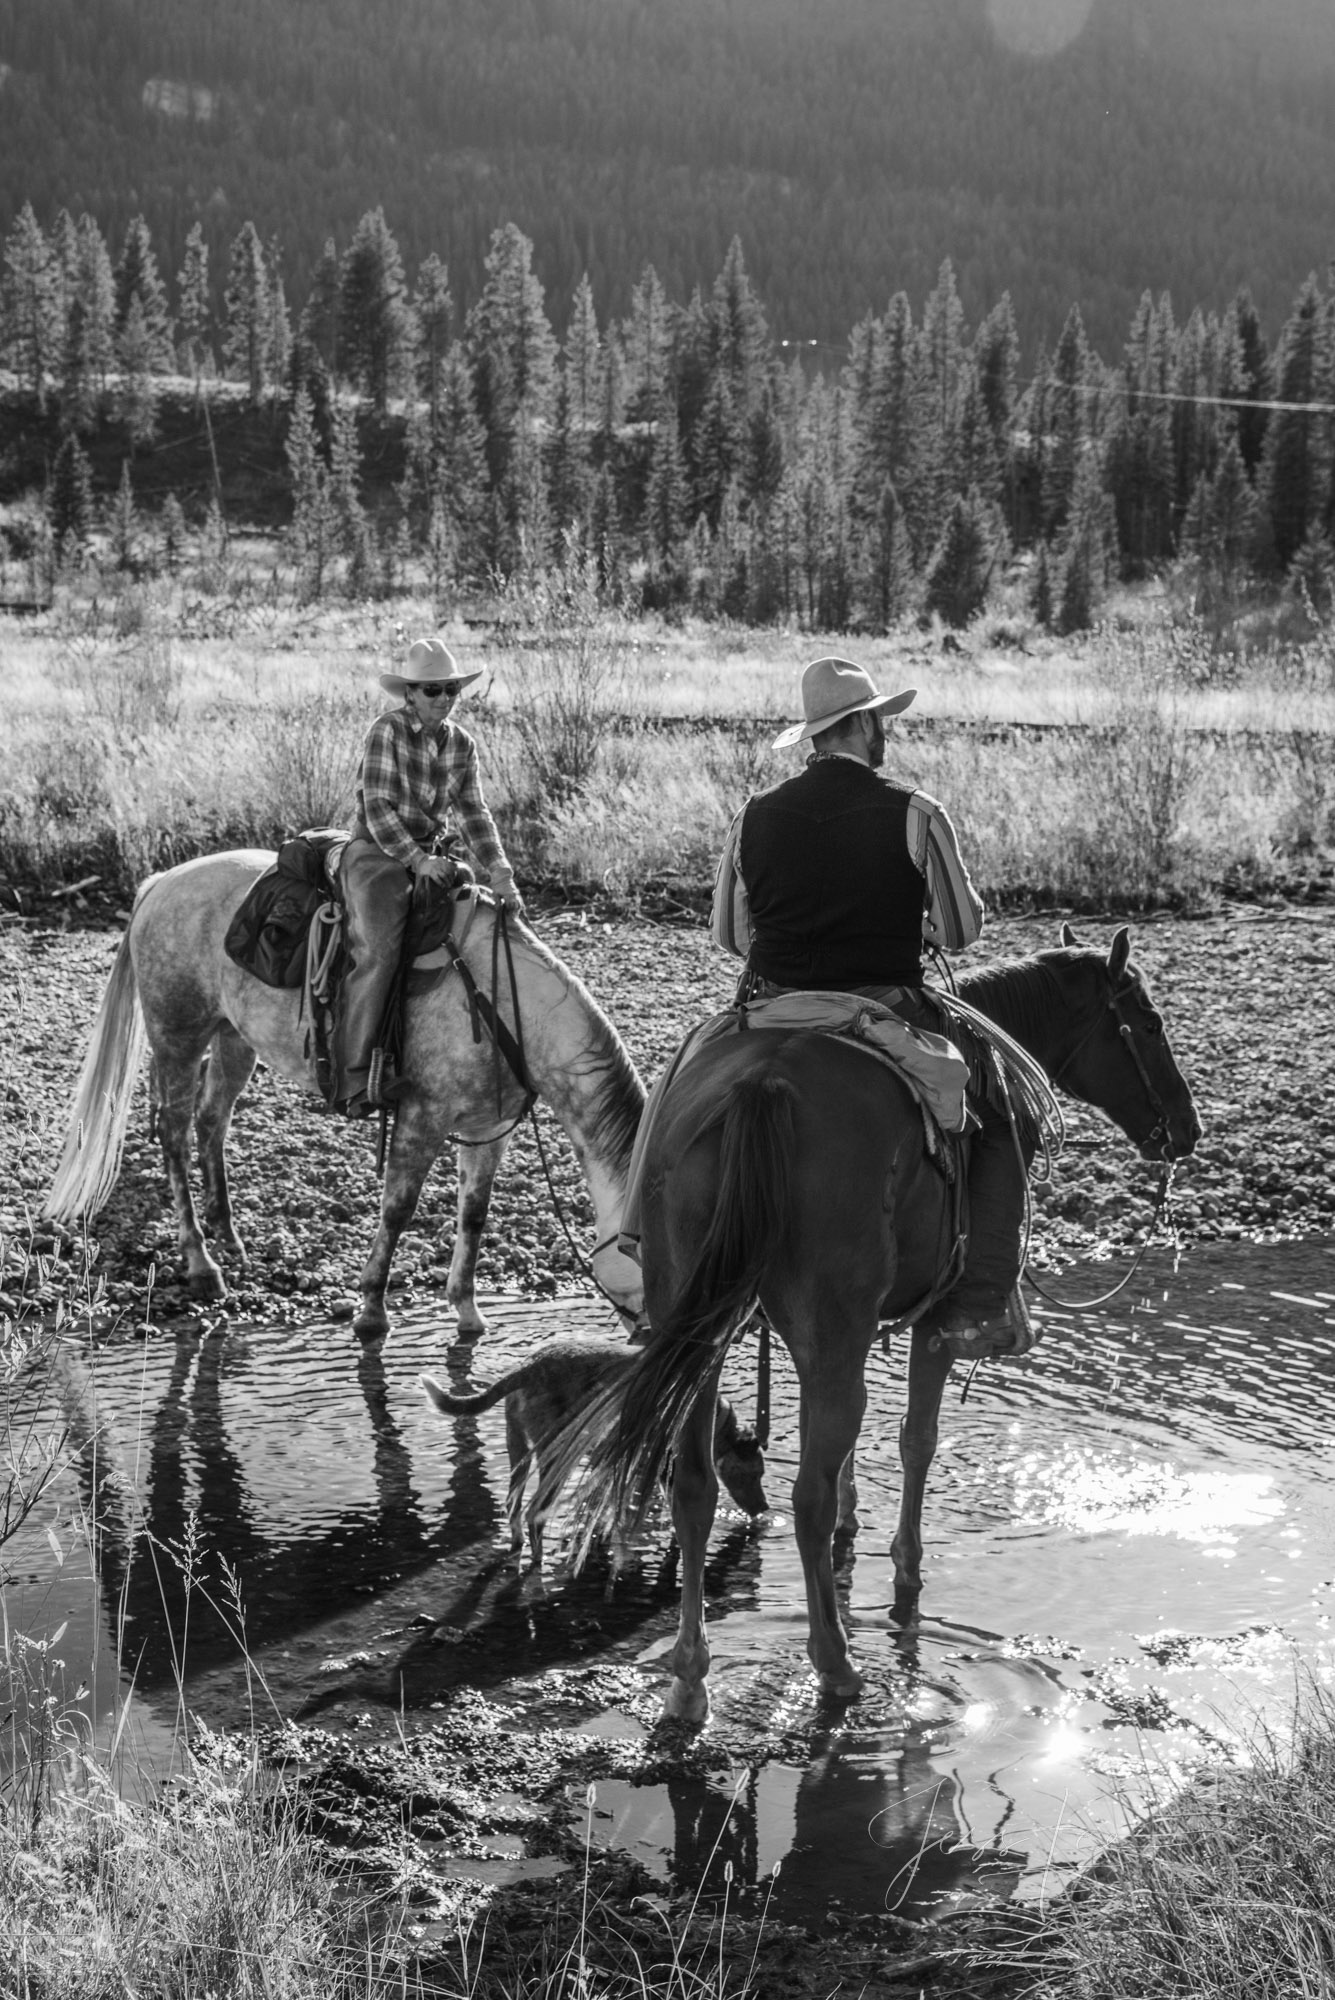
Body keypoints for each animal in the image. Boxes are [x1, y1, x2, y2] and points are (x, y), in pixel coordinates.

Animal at [42, 852, 647, 1336]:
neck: (502, 1006)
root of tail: (161, 882)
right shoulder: (422, 1119)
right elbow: (398, 1209)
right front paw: (372, 1311)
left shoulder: (486, 1130)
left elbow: (473, 1215)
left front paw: (467, 1312)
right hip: (178, 1035)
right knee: (173, 1132)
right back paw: (201, 1263)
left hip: (234, 1037)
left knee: (212, 1119)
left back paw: (229, 1235)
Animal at [579, 920, 1207, 1720]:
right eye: (1149, 1024)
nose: (1185, 1129)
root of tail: (763, 1085)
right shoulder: (927, 1321)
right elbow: (915, 1439)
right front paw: (906, 1574)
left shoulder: (834, 1332)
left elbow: (846, 1448)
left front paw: (856, 1538)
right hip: (828, 1321)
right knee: (805, 1497)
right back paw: (836, 1664)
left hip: (705, 1325)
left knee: (694, 1484)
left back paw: (691, 1678)